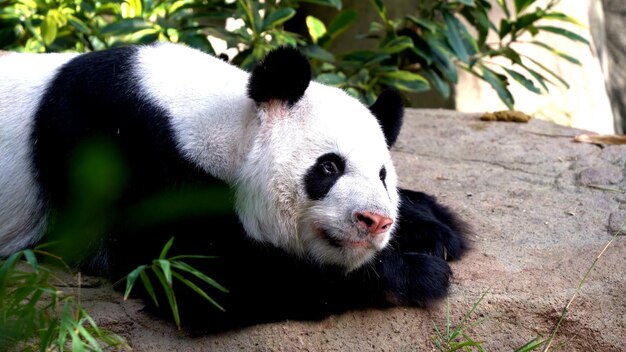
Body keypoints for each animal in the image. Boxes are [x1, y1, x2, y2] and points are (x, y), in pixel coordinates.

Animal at [0, 42, 468, 332]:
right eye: (329, 167)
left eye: (383, 176)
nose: (375, 221)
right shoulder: (121, 153)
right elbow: (206, 279)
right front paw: (419, 273)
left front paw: (435, 228)